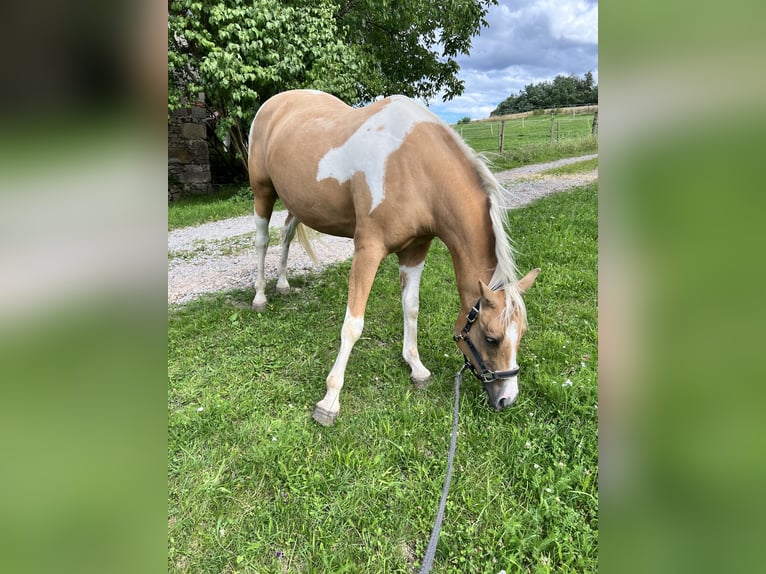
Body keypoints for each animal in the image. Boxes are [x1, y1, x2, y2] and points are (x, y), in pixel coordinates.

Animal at [247, 89, 539, 426]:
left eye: (521, 334)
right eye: (492, 338)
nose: (507, 399)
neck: (416, 168)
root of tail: (275, 103)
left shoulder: (415, 250)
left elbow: (411, 308)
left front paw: (416, 367)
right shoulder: (368, 249)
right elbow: (353, 324)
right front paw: (329, 400)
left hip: (297, 201)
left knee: (286, 234)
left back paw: (282, 284)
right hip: (263, 192)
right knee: (262, 241)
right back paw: (260, 297)